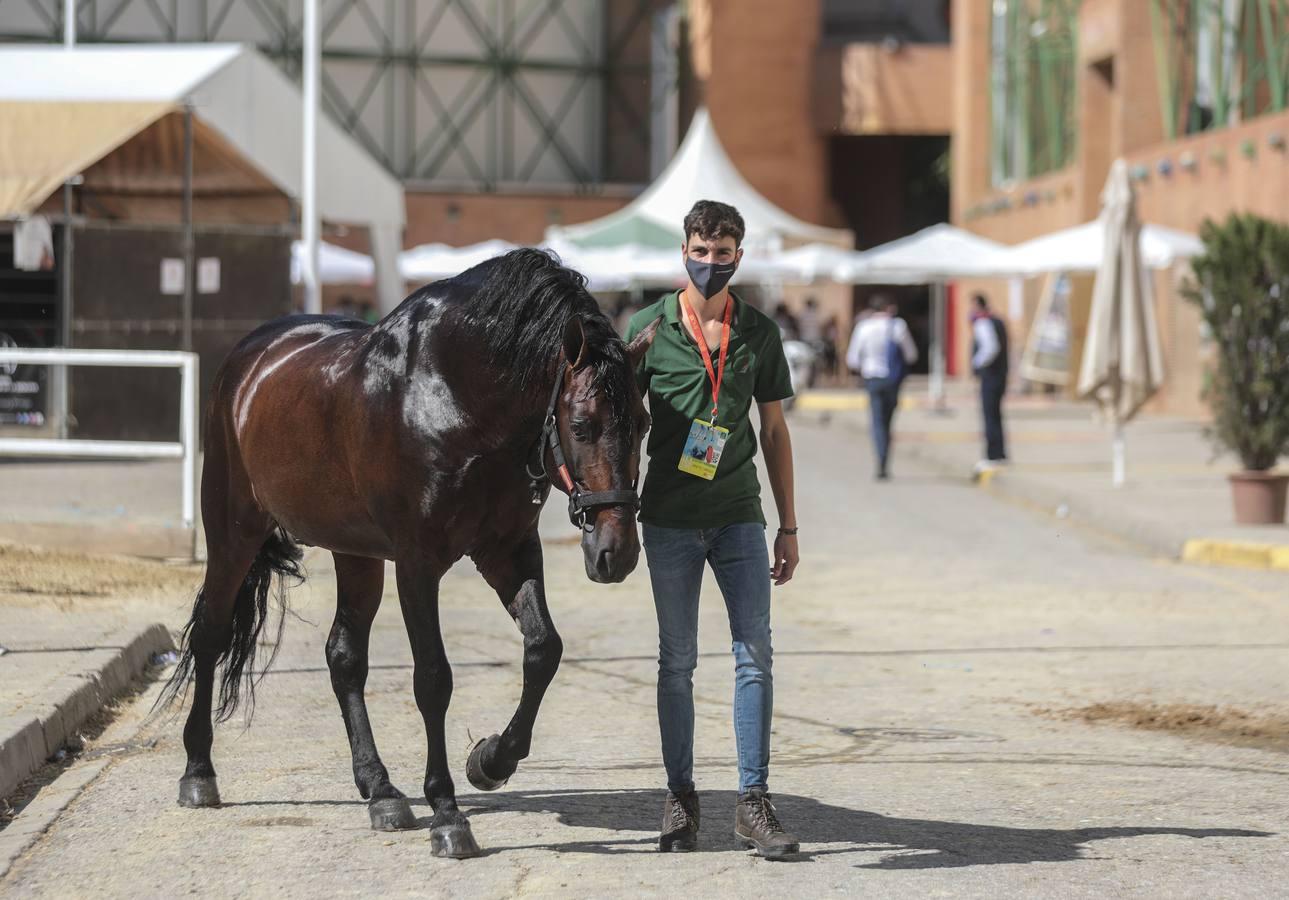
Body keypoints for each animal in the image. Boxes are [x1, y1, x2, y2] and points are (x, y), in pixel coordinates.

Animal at [161, 244, 659, 856]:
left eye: (642, 423)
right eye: (583, 425)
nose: (618, 551)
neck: (457, 399)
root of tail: (250, 358)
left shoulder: (508, 552)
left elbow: (544, 650)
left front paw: (490, 761)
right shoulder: (418, 565)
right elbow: (434, 679)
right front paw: (447, 813)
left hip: (355, 553)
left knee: (344, 657)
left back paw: (380, 791)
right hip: (233, 533)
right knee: (209, 635)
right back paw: (198, 772)